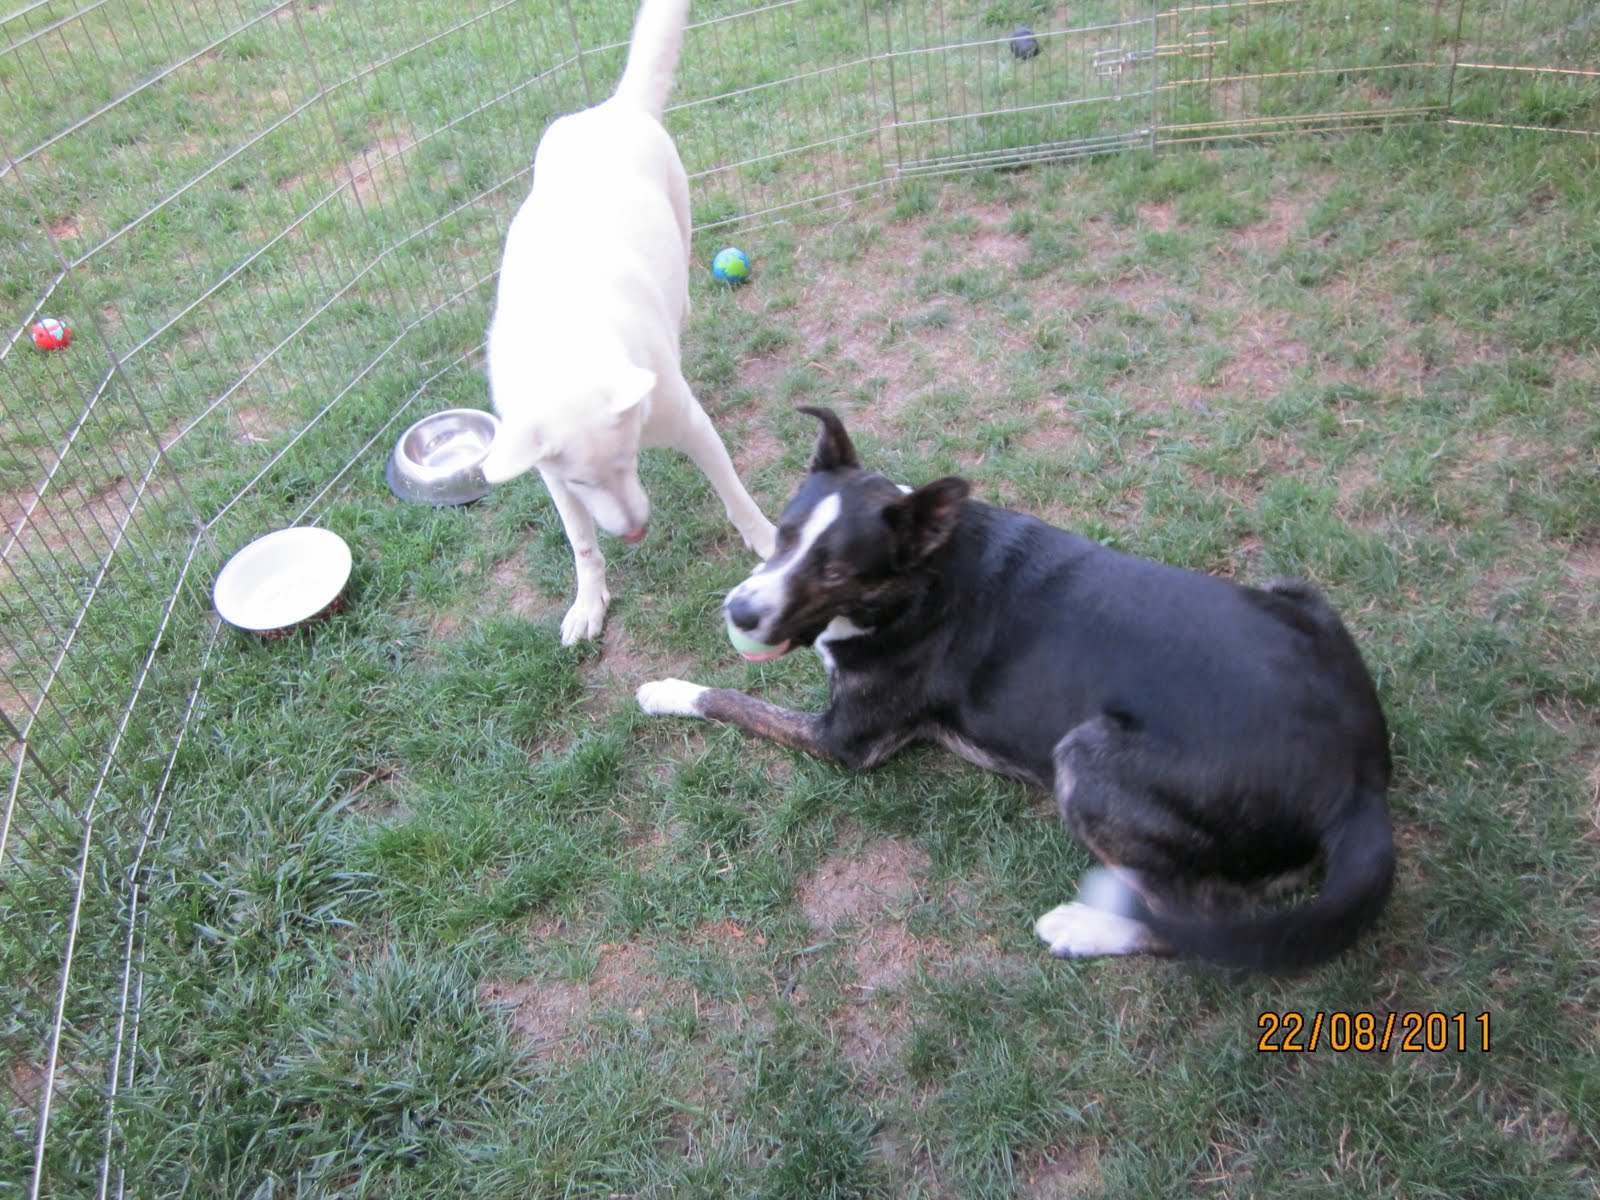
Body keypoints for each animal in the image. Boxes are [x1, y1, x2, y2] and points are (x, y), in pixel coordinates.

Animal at [480, 0, 775, 645]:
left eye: (625, 463)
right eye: (585, 483)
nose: (636, 533)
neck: (564, 346)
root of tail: (615, 108)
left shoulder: (692, 426)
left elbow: (735, 494)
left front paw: (767, 543)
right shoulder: (551, 477)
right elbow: (581, 542)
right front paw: (588, 601)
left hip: (681, 221)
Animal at [637, 407, 1395, 970]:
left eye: (835, 572)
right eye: (783, 534)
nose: (738, 612)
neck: (918, 578)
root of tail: (1361, 784)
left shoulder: (846, 740)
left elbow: (730, 701)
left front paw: (663, 688)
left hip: (1086, 757)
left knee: (1199, 927)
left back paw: (1084, 929)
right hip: (1296, 590)